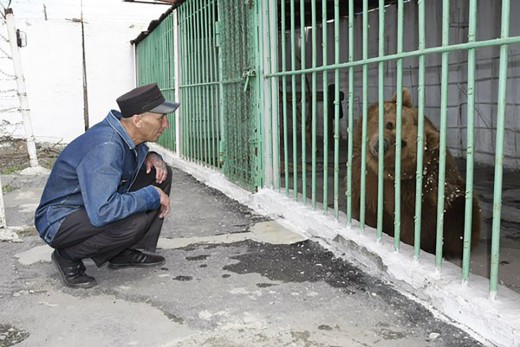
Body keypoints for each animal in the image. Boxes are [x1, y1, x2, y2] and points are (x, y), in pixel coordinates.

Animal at [348, 88, 482, 260]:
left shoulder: (414, 193)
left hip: (457, 204)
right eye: (390, 124)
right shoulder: (364, 178)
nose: (381, 145)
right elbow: (367, 207)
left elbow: (413, 226)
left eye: (403, 142)